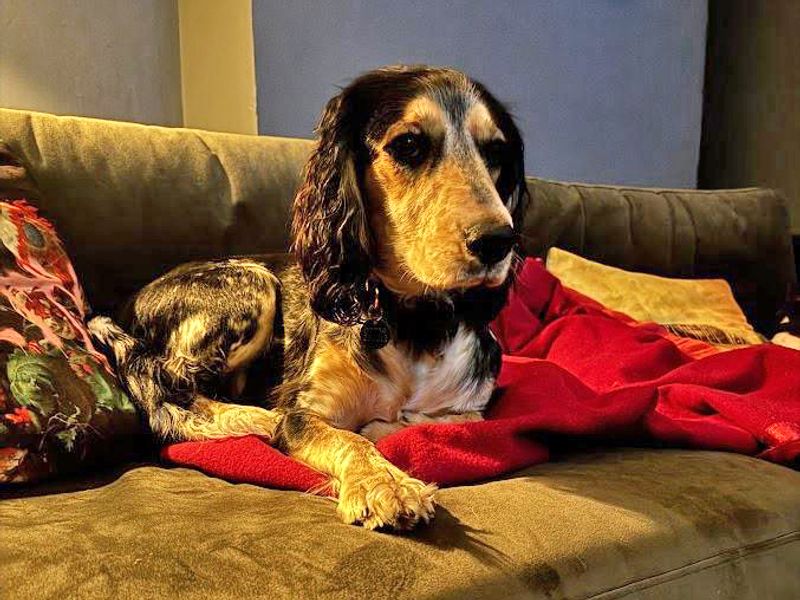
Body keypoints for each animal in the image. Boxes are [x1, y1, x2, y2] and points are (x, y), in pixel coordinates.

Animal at [89, 63, 524, 528]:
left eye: (496, 152)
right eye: (409, 145)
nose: (499, 241)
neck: (414, 322)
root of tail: (124, 305)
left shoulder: (471, 407)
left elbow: (443, 423)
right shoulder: (305, 411)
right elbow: (348, 438)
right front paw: (385, 484)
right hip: (253, 284)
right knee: (172, 385)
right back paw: (246, 417)